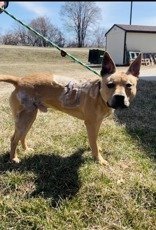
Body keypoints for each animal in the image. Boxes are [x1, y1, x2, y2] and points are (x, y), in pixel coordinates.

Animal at [0, 52, 141, 164]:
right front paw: (99, 159)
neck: (99, 95)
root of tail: (19, 80)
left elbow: (95, 140)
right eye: (110, 85)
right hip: (25, 118)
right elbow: (93, 143)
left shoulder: (97, 122)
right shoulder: (91, 124)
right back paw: (13, 158)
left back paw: (26, 149)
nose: (119, 97)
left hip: (29, 117)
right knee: (13, 139)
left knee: (22, 136)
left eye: (129, 85)